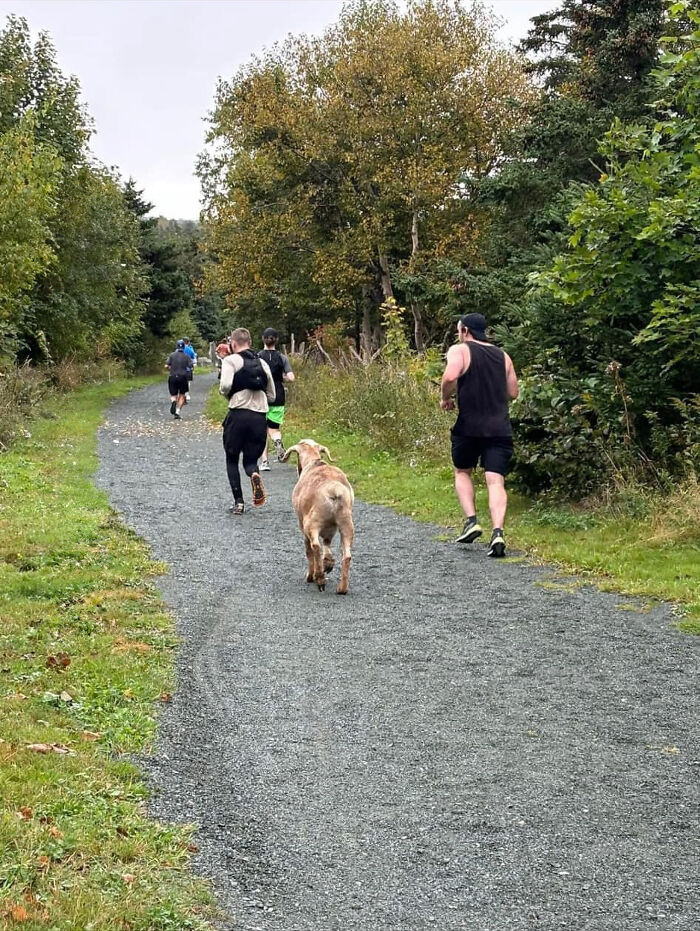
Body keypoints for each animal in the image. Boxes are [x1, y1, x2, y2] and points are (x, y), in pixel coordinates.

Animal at [280, 438, 352, 596]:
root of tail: (334, 490)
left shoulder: (302, 525)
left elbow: (309, 551)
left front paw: (310, 576)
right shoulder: (330, 529)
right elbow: (327, 545)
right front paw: (328, 564)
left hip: (311, 524)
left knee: (315, 547)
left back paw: (319, 578)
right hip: (345, 524)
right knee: (346, 555)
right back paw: (341, 588)